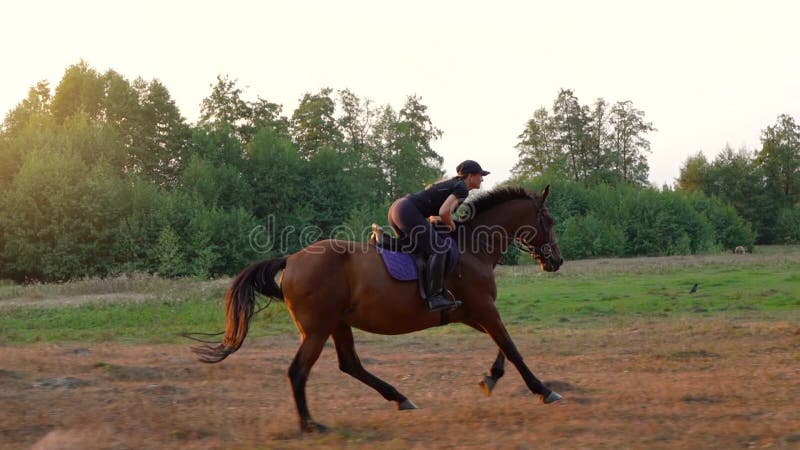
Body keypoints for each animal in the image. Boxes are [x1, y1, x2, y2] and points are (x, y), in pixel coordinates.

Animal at [193, 185, 564, 430]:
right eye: (549, 220)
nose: (556, 261)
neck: (474, 247)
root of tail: (292, 259)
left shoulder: (471, 312)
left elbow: (501, 346)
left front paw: (491, 378)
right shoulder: (484, 308)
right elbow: (511, 347)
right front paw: (544, 390)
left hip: (337, 324)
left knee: (350, 364)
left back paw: (399, 398)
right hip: (317, 329)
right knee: (299, 371)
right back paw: (310, 424)